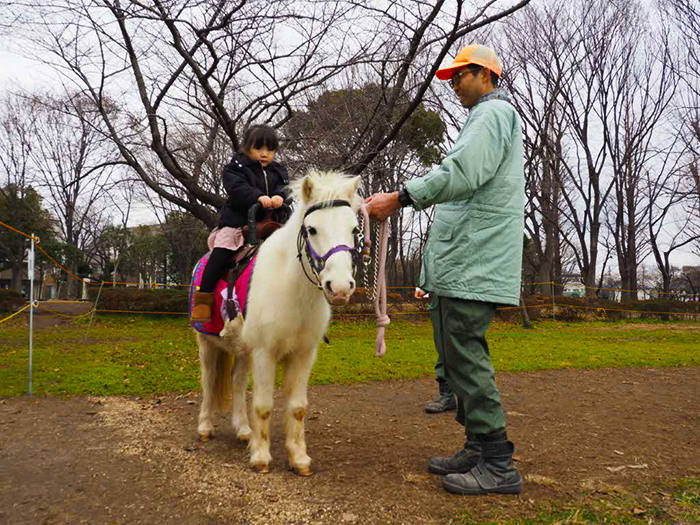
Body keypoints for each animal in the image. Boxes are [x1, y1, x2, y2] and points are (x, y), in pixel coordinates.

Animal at [193, 171, 363, 476]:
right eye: (312, 230)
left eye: (354, 229)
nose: (341, 287)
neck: (291, 289)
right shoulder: (265, 353)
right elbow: (263, 405)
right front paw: (261, 458)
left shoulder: (303, 355)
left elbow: (297, 407)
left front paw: (299, 459)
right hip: (207, 345)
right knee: (209, 381)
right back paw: (205, 427)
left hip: (243, 351)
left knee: (237, 382)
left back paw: (243, 430)